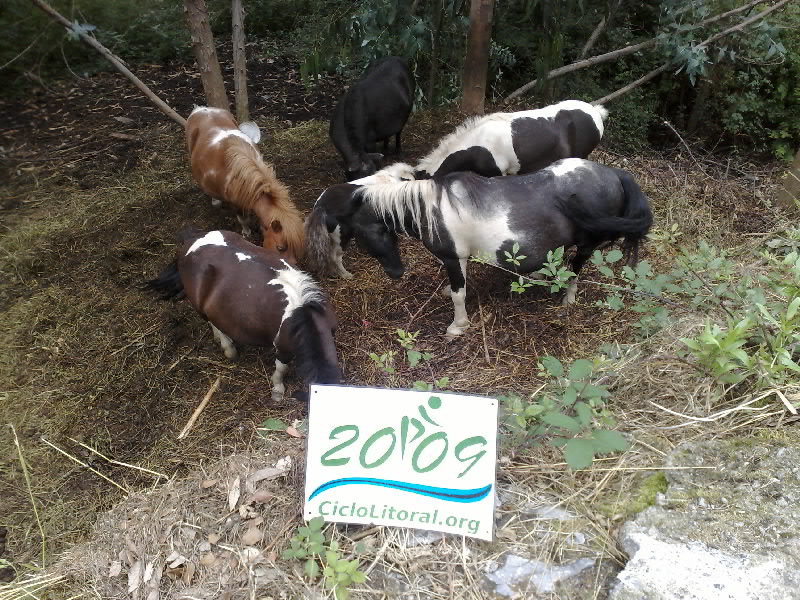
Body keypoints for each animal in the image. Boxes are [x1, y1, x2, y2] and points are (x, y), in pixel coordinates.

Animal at [144, 228, 340, 400]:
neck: (302, 315)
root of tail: (190, 242)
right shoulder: (282, 349)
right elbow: (281, 369)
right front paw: (277, 389)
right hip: (200, 306)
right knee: (212, 322)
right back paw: (228, 348)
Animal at [305, 158, 652, 337]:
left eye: (367, 232)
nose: (396, 272)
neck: (431, 209)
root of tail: (613, 174)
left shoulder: (453, 257)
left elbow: (459, 294)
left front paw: (457, 327)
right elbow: (458, 287)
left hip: (585, 245)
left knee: (575, 270)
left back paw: (566, 299)